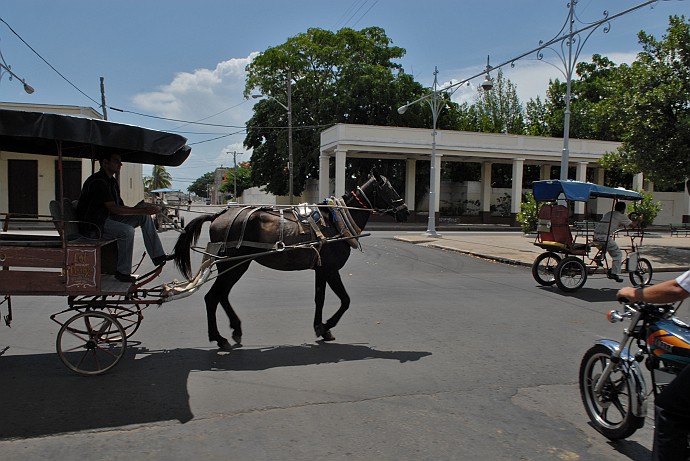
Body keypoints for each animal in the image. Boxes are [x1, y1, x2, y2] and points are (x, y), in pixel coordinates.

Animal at [173, 169, 408, 348]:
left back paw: (235, 329)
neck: (336, 222)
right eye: (389, 188)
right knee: (212, 297)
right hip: (234, 264)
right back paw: (219, 338)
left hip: (236, 265)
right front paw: (327, 326)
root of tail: (218, 215)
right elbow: (345, 300)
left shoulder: (321, 269)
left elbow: (320, 299)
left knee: (221, 296)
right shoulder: (331, 269)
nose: (405, 211)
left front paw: (320, 328)